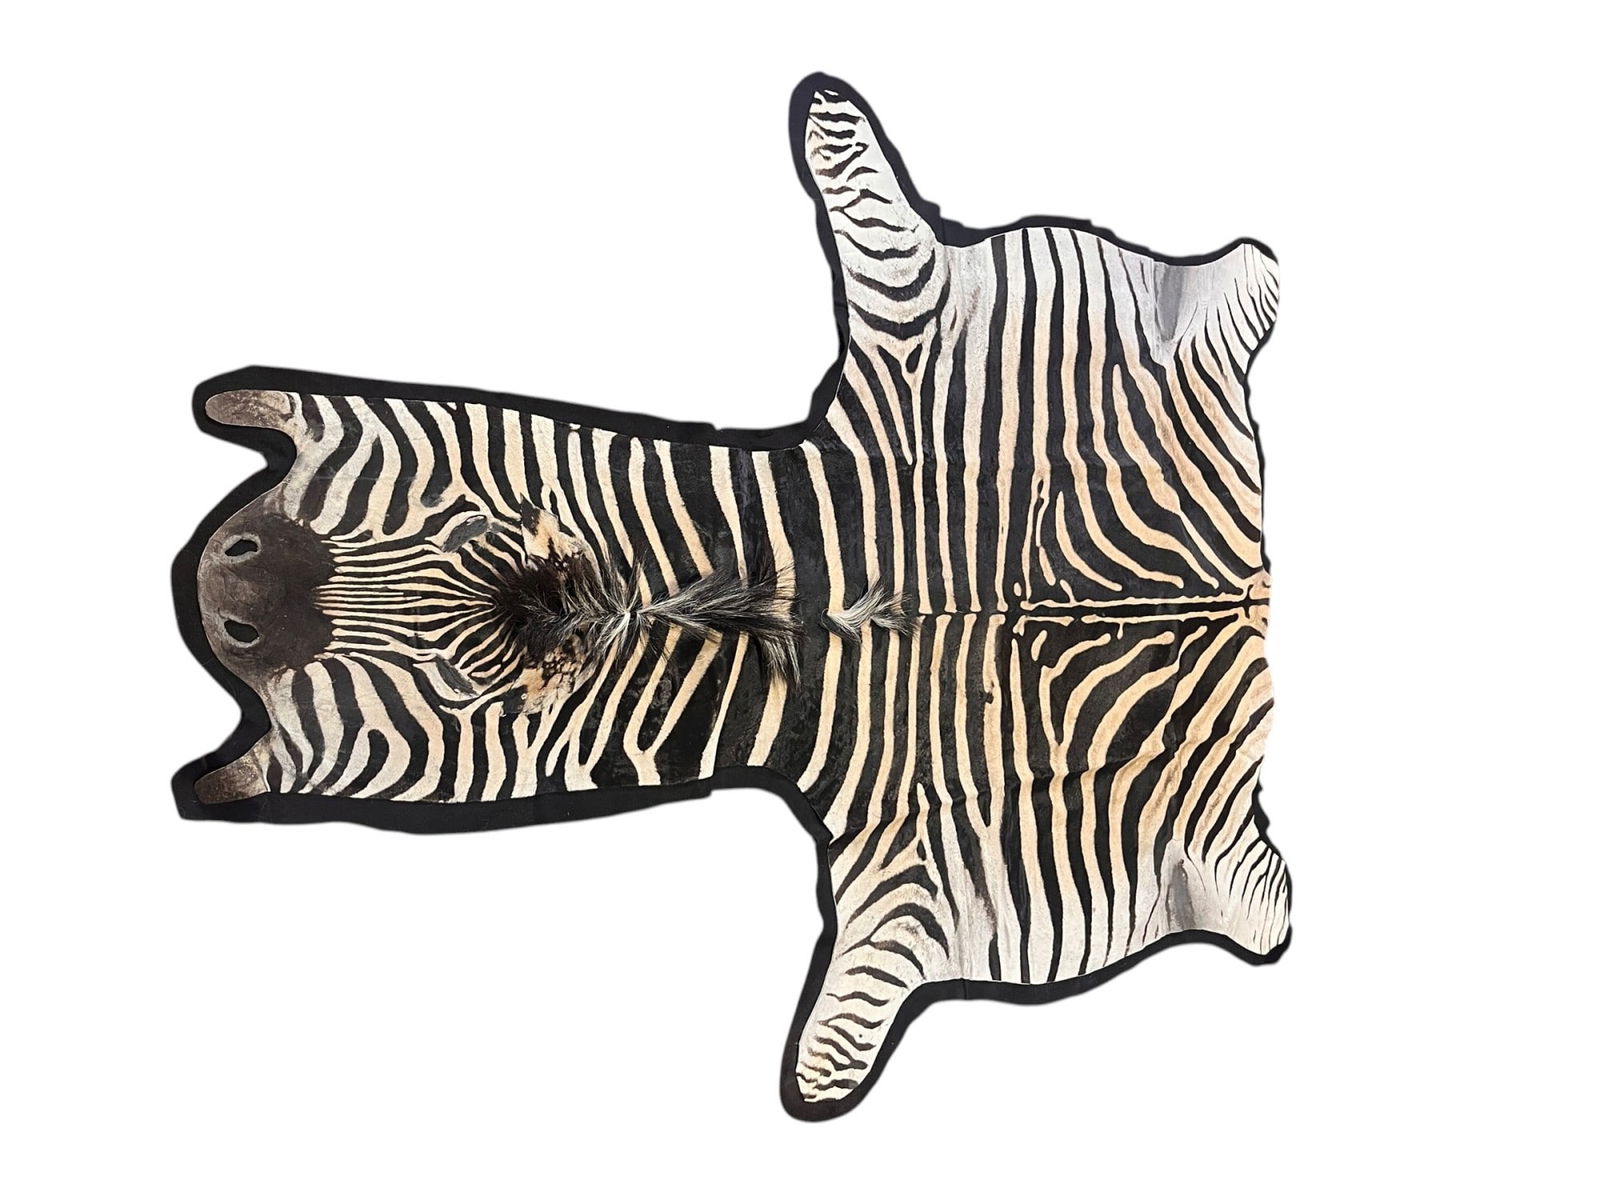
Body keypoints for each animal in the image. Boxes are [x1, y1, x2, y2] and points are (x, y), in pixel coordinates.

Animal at [176, 74, 1290, 1119]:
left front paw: (828, 119)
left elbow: (879, 230)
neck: (792, 597)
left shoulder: (922, 321)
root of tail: (1255, 587)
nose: (223, 583)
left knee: (1246, 279)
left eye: (475, 541)